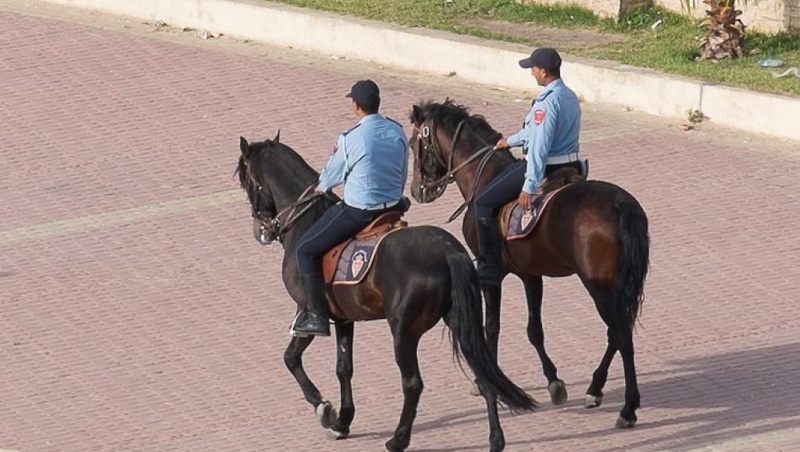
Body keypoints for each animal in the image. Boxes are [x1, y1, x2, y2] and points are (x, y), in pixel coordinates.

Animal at [238, 132, 536, 450]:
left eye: (246, 180)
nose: (260, 231)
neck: (306, 223)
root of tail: (448, 252)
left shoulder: (307, 310)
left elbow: (291, 358)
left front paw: (324, 409)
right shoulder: (344, 319)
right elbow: (344, 368)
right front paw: (342, 421)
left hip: (403, 331)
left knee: (413, 383)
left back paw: (398, 438)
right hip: (460, 320)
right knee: (484, 372)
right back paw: (496, 438)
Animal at [406, 100, 648, 430]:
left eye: (413, 144)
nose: (417, 190)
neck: (484, 176)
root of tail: (620, 204)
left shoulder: (491, 273)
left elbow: (491, 326)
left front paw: (485, 381)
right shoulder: (531, 275)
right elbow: (535, 330)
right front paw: (554, 382)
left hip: (598, 285)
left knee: (621, 333)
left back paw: (627, 408)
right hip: (616, 285)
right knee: (617, 332)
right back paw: (595, 388)